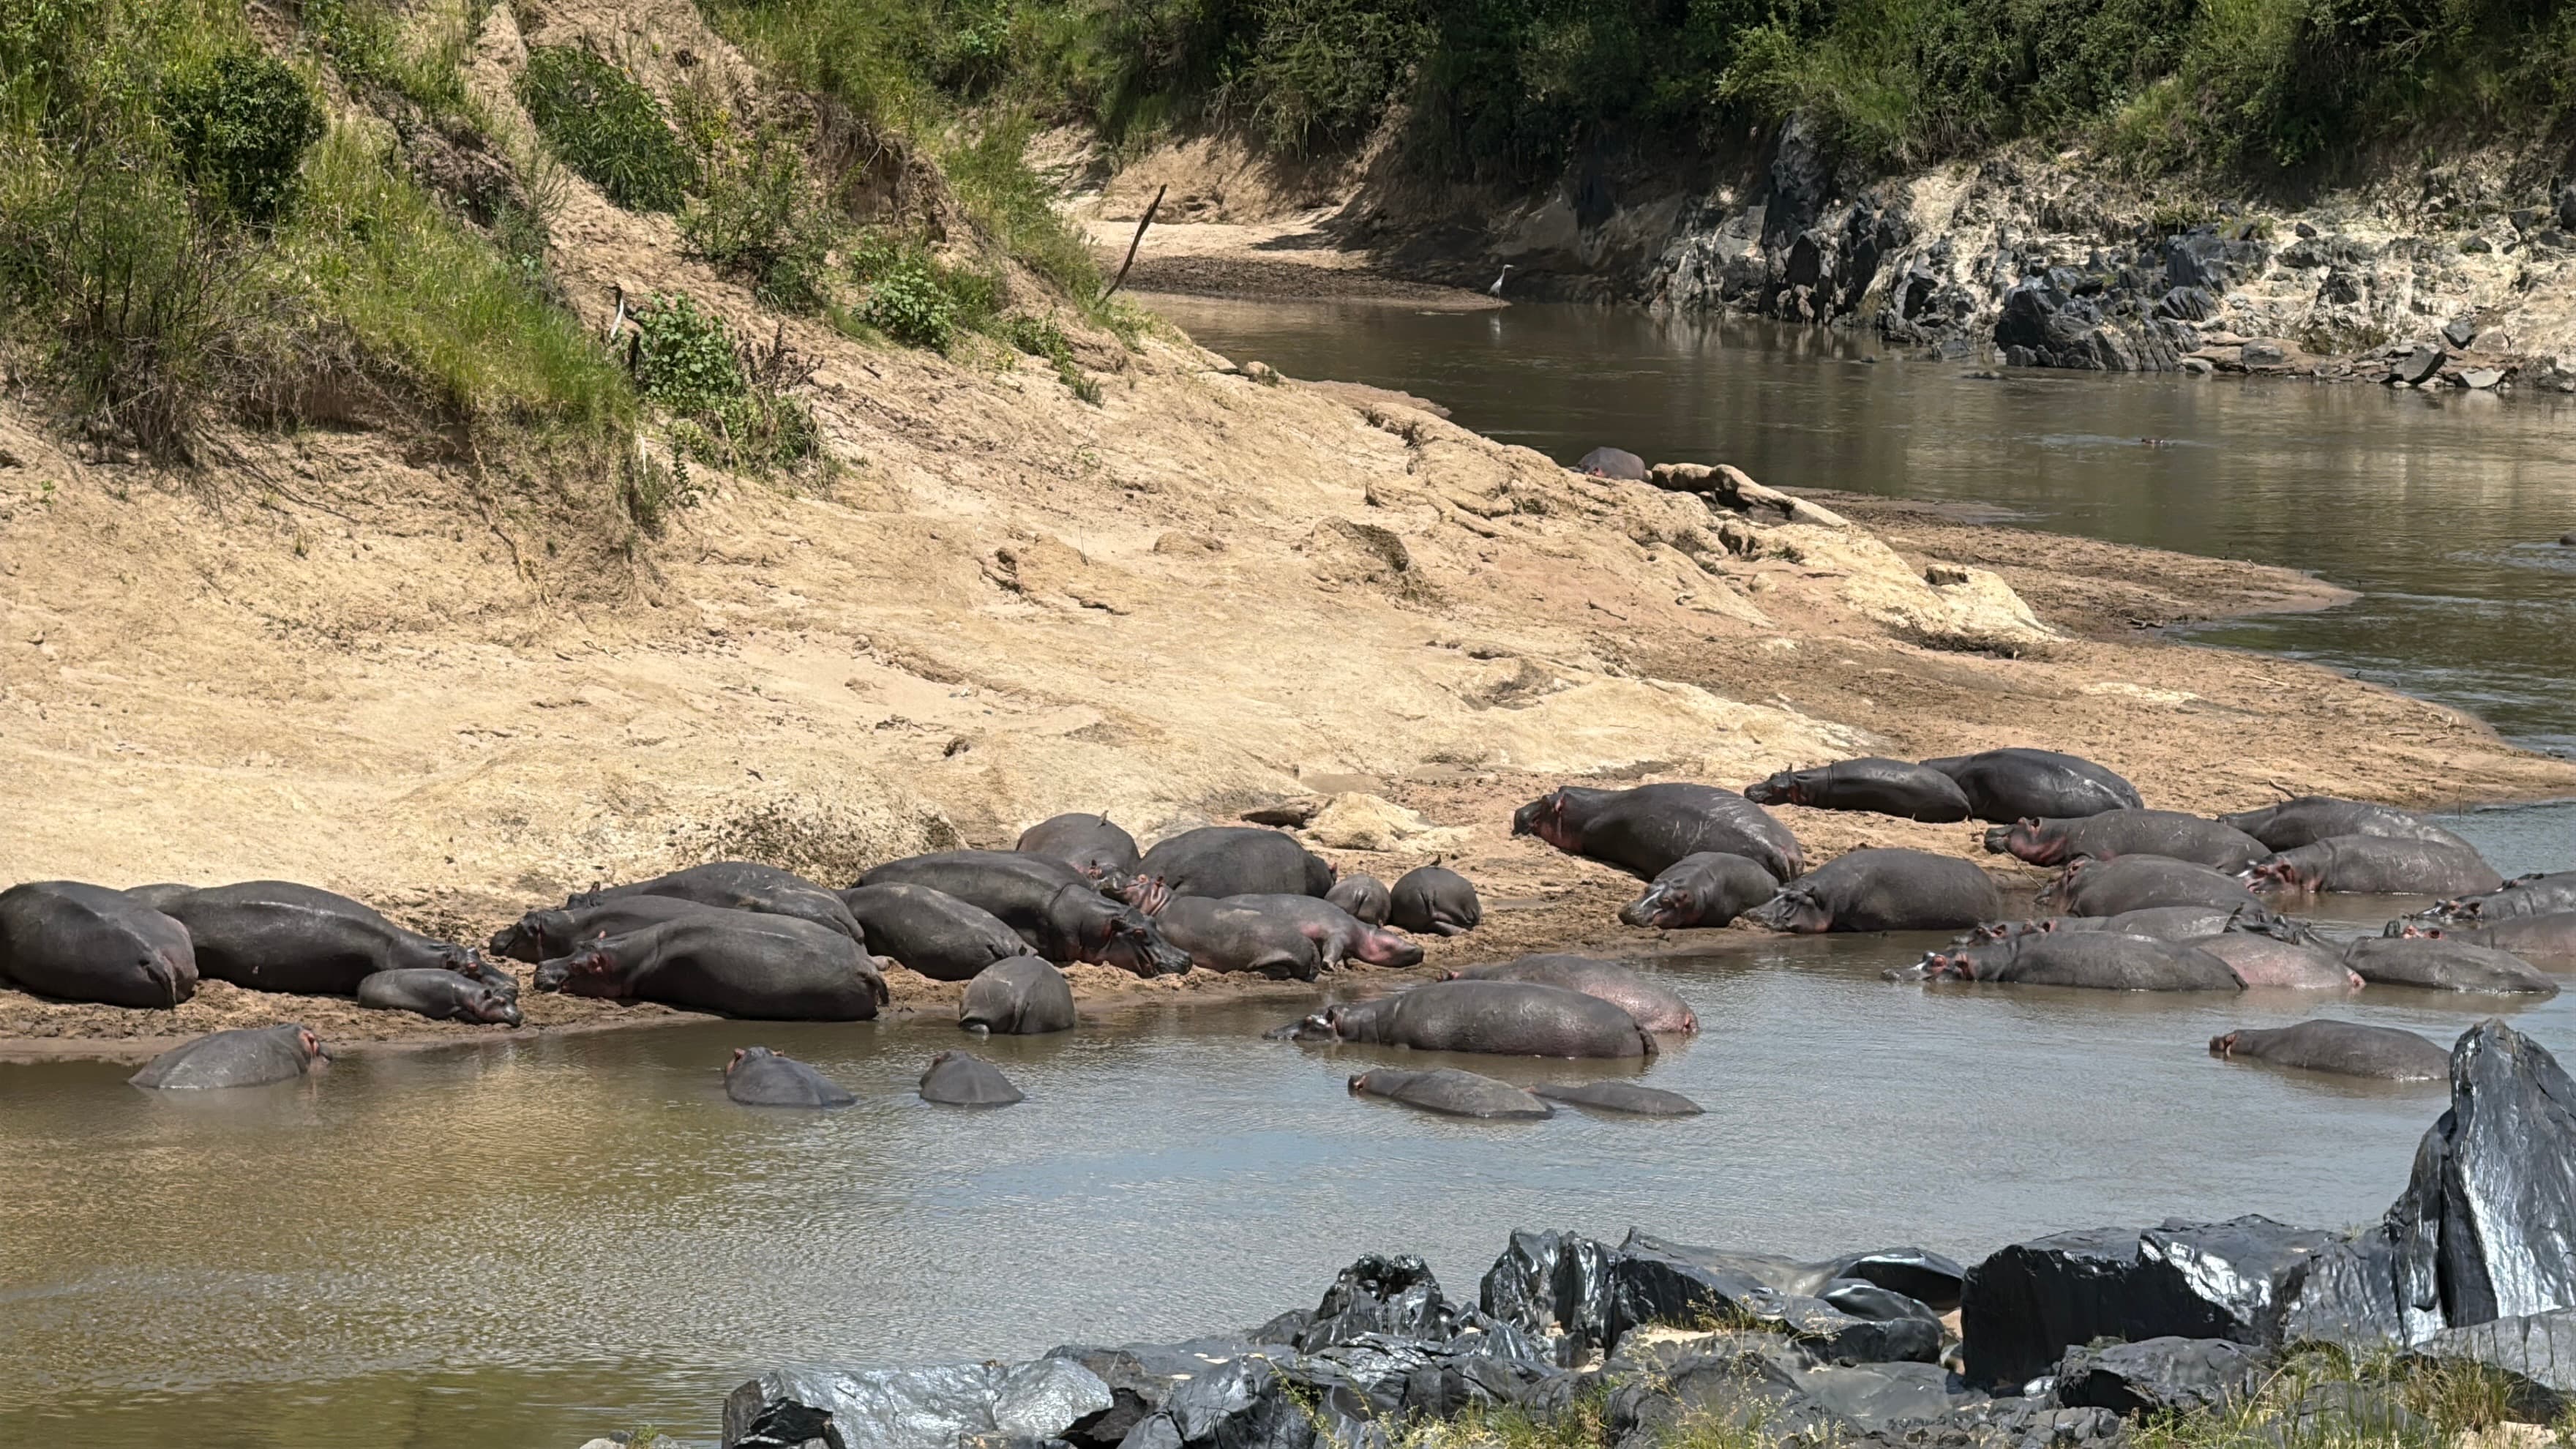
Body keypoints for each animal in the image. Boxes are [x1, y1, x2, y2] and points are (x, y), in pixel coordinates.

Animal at [357, 968, 525, 1025]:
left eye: (513, 1000)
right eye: (501, 1002)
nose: (520, 1015)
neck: (475, 994)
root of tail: (361, 983)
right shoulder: (454, 1006)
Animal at [1156, 895, 1421, 979]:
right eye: (1393, 941)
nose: (1421, 949)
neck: (1364, 931)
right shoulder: (1338, 933)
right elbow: (1332, 950)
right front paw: (1331, 966)